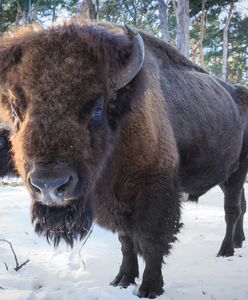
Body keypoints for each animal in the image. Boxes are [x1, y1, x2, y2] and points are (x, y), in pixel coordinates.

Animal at [0, 21, 247, 298]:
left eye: (97, 108)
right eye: (17, 110)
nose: (49, 184)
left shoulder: (154, 190)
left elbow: (150, 240)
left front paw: (150, 287)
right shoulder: (111, 202)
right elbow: (126, 240)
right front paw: (122, 279)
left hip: (237, 172)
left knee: (232, 210)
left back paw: (225, 250)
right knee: (241, 206)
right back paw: (238, 243)